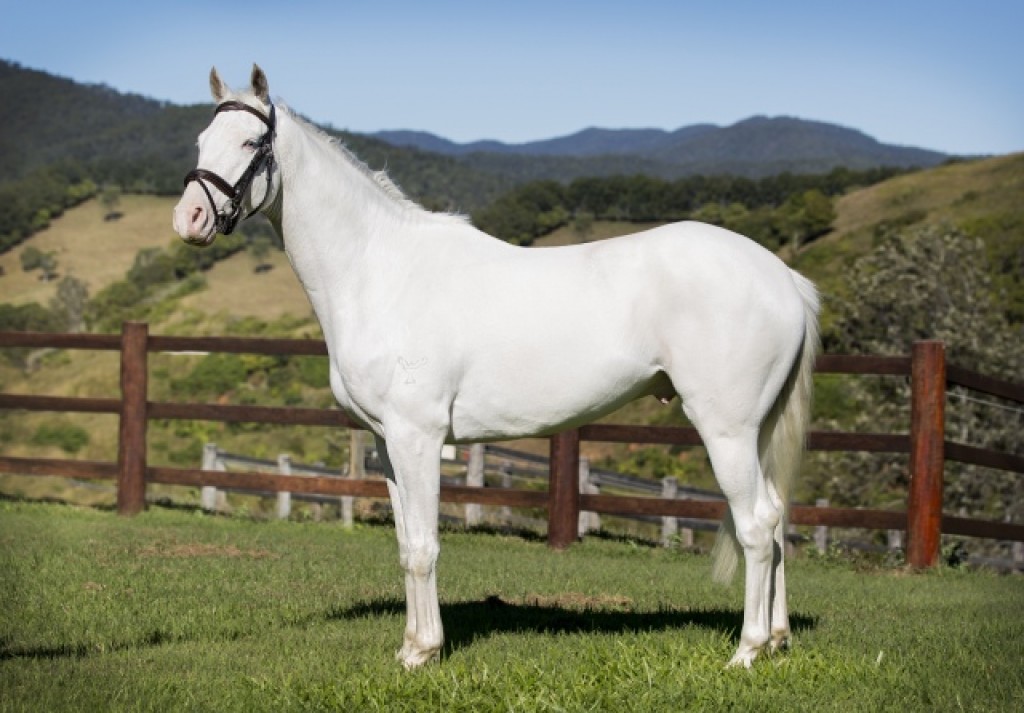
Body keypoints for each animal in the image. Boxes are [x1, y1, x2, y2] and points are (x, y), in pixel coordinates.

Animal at [172, 65, 819, 667]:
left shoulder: (418, 437)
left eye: (251, 143)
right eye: (201, 139)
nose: (189, 220)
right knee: (776, 518)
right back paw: (778, 639)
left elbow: (425, 547)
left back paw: (747, 651)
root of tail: (785, 277)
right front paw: (410, 647)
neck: (382, 271)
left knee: (755, 525)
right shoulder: (387, 443)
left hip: (726, 429)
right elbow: (406, 544)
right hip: (756, 430)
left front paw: (426, 652)